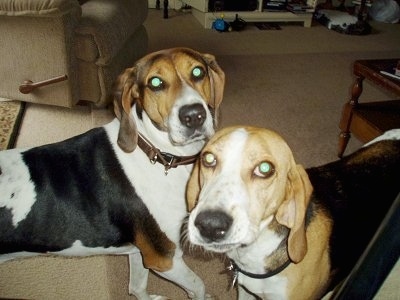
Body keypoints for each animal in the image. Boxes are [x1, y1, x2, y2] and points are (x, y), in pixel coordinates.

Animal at [0, 48, 225, 298]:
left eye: (198, 72)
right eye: (155, 83)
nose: (194, 115)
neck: (156, 153)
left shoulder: (139, 252)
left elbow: (136, 287)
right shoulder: (165, 259)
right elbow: (198, 285)